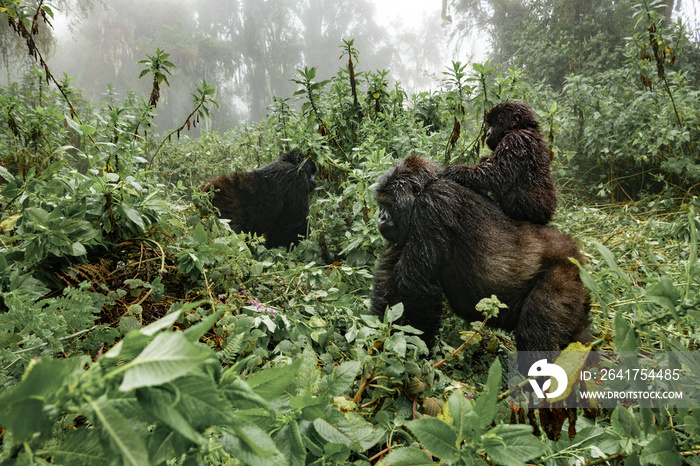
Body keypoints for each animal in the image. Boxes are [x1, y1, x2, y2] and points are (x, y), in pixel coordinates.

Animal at [372, 155, 592, 362]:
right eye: (380, 204)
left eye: (388, 204)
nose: (380, 217)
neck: (425, 188)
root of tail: (577, 256)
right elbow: (387, 280)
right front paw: (375, 343)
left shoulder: (432, 206)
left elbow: (415, 288)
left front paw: (414, 358)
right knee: (578, 338)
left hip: (564, 272)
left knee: (535, 336)